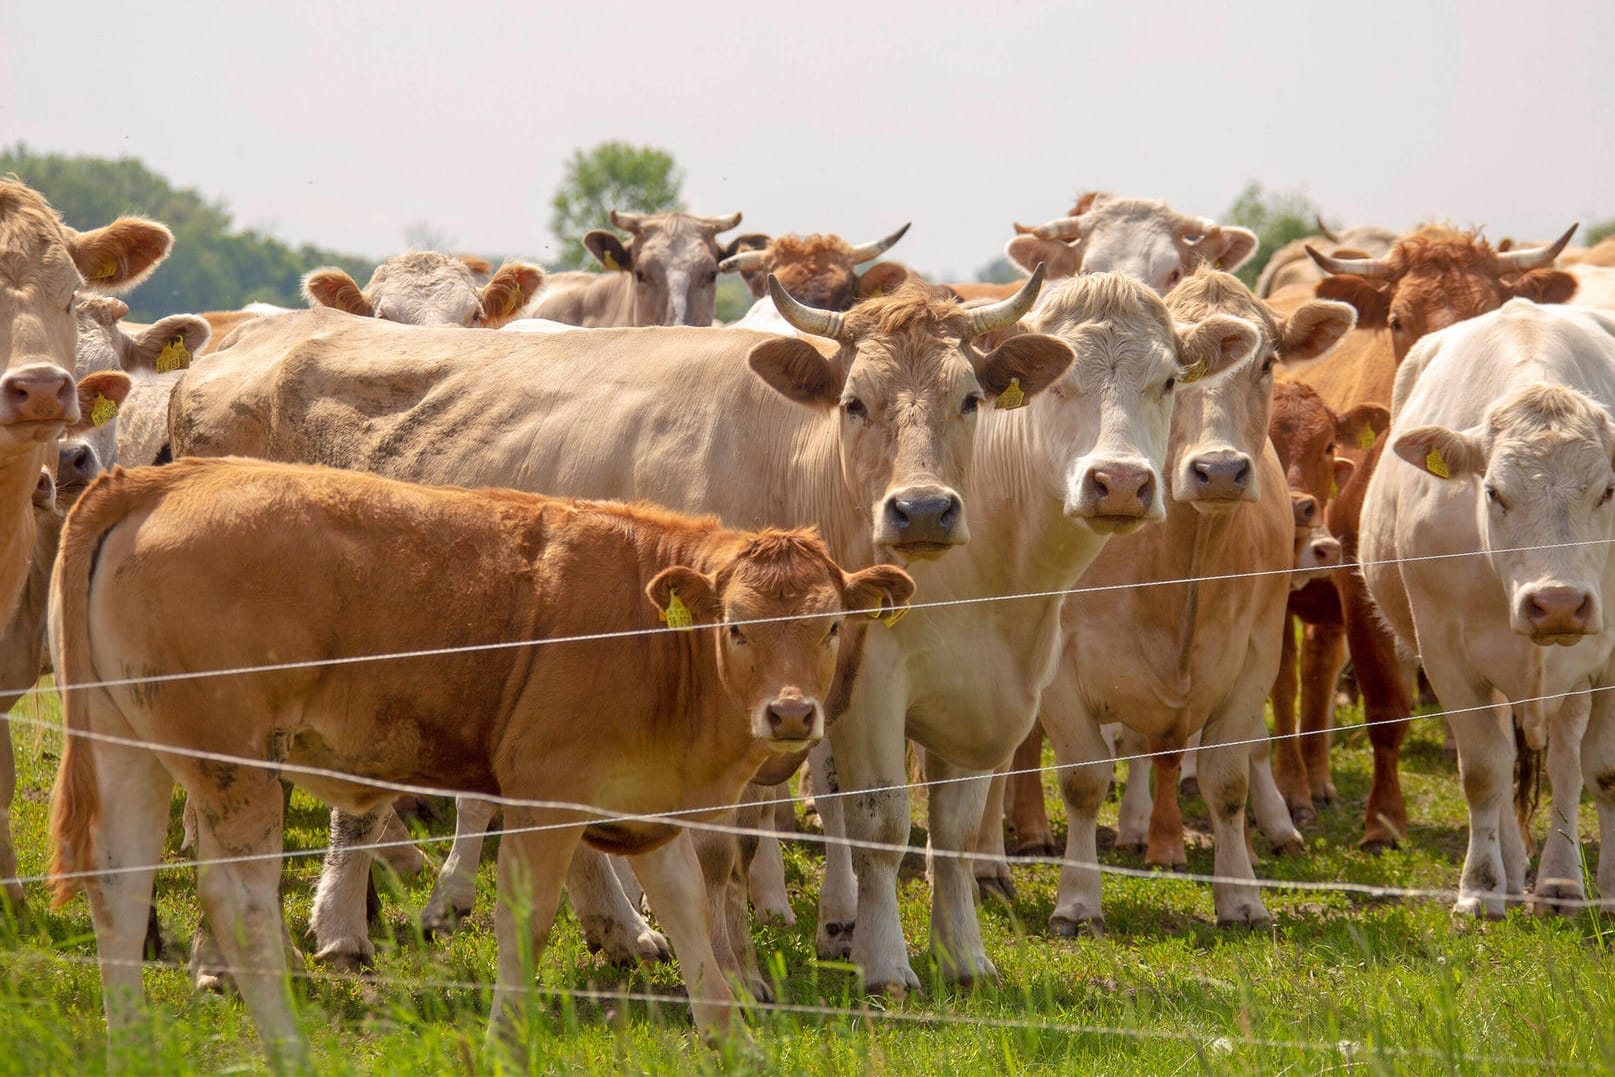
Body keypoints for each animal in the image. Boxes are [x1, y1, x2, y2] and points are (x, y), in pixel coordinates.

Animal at [44, 452, 910, 1059]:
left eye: (831, 624)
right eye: (735, 626)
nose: (791, 711)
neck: (650, 636)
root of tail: (159, 477)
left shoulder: (647, 801)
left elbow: (692, 916)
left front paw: (734, 1040)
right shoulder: (543, 798)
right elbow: (522, 921)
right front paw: (505, 1037)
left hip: (129, 750)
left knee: (118, 889)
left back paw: (132, 1042)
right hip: (234, 766)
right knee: (239, 904)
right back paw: (288, 1046)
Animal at [1356, 301, 1615, 917]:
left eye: (1608, 491)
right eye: (1494, 491)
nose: (1558, 604)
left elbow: (1604, 771)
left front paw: (1611, 888)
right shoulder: (1445, 655)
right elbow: (1482, 771)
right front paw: (1479, 889)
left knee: (1566, 762)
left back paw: (1560, 882)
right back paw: (1515, 874)